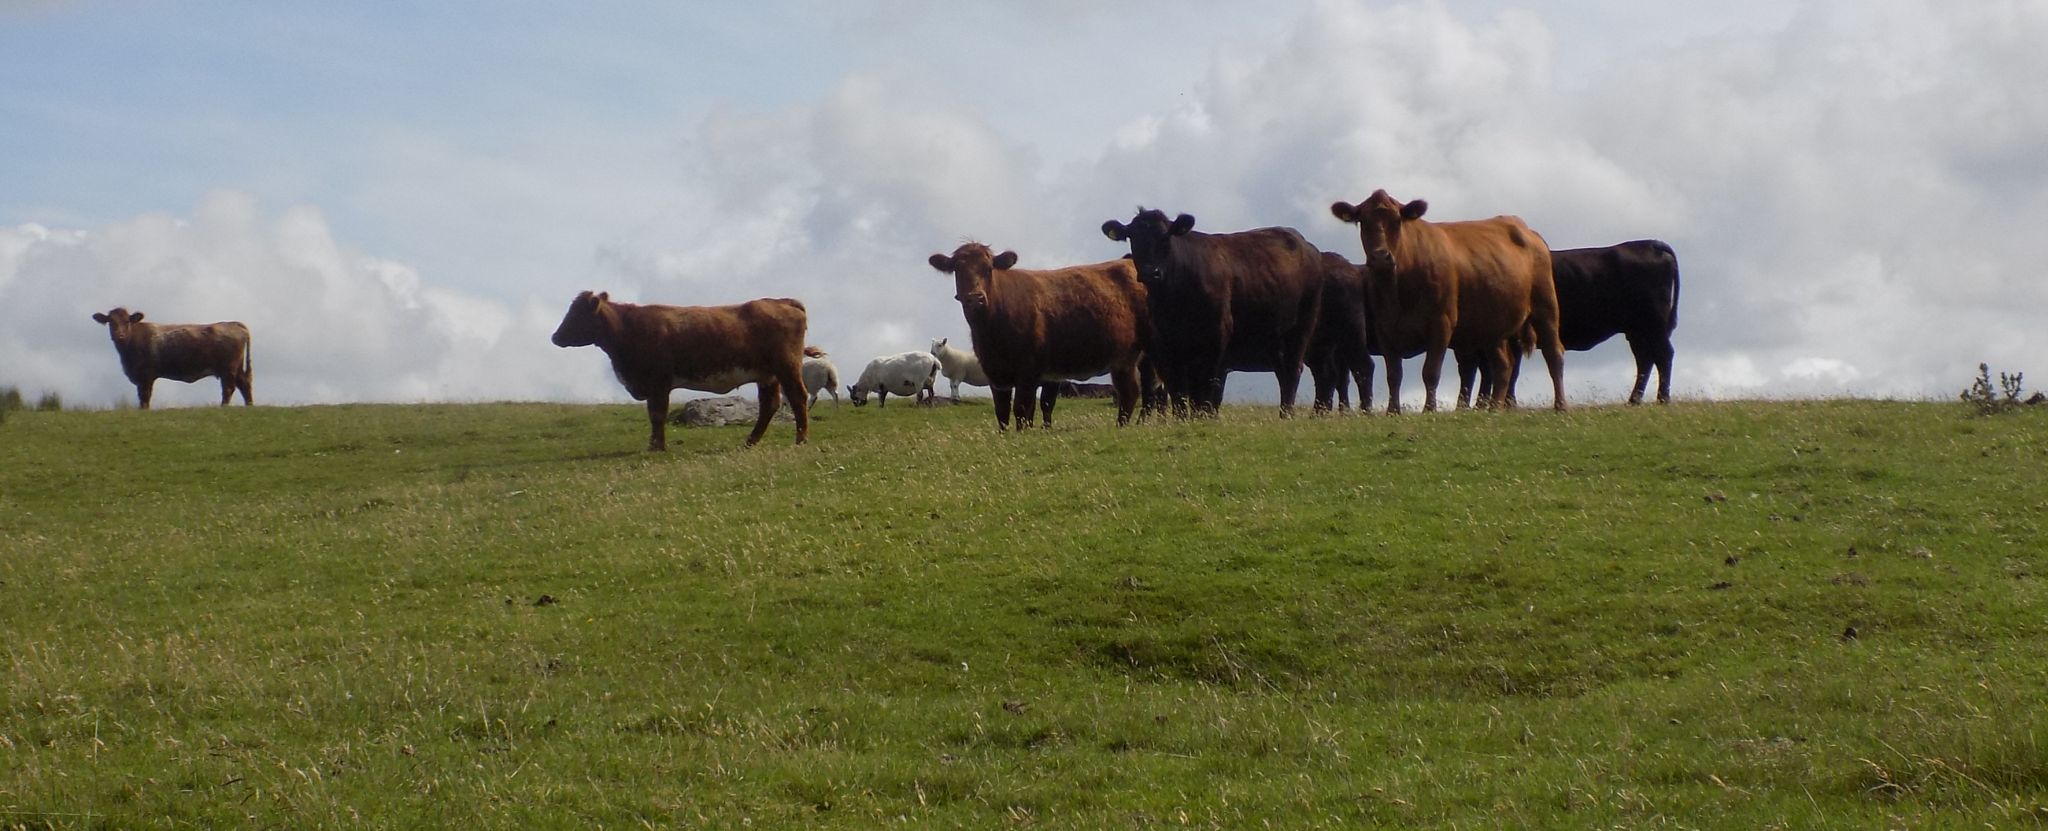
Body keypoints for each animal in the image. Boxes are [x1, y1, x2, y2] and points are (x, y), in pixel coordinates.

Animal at [91, 307, 252, 407]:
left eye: (127, 321)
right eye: (111, 322)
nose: (120, 336)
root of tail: (232, 323)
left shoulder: (146, 375)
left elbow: (145, 396)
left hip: (228, 368)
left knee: (229, 388)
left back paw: (223, 406)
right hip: (236, 368)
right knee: (244, 384)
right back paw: (249, 405)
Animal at [548, 290, 811, 450]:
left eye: (577, 315)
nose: (555, 337)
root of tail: (779, 301)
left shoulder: (659, 382)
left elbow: (657, 414)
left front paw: (657, 447)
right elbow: (654, 415)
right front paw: (654, 445)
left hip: (787, 367)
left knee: (798, 398)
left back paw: (801, 440)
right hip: (767, 375)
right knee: (769, 405)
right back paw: (750, 442)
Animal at [1105, 207, 1327, 415]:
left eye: (1165, 237)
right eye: (1133, 238)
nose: (1151, 272)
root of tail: (1306, 245)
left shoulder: (1216, 340)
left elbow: (1205, 390)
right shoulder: (1167, 346)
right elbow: (1179, 393)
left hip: (1301, 328)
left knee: (1291, 372)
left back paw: (1286, 415)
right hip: (1274, 339)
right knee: (1282, 373)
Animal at [1327, 188, 1564, 411]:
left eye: (1397, 220)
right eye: (1363, 221)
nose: (1380, 257)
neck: (1399, 290)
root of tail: (1528, 231)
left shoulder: (1441, 322)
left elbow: (1430, 371)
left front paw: (1429, 409)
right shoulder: (1384, 328)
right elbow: (1393, 374)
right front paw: (1392, 411)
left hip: (1545, 307)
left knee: (1554, 354)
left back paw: (1560, 405)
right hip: (1491, 324)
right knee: (1503, 365)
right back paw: (1494, 408)